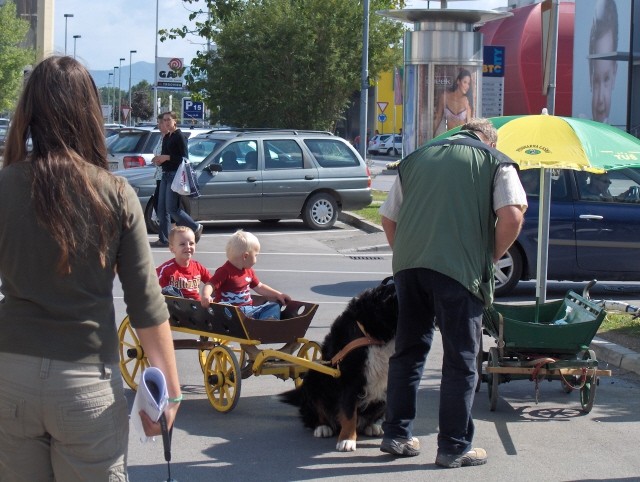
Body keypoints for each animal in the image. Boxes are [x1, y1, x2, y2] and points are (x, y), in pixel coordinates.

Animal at [278, 278, 396, 452]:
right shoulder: (350, 377)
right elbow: (349, 413)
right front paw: (347, 440)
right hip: (315, 377)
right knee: (315, 414)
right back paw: (322, 427)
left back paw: (373, 425)